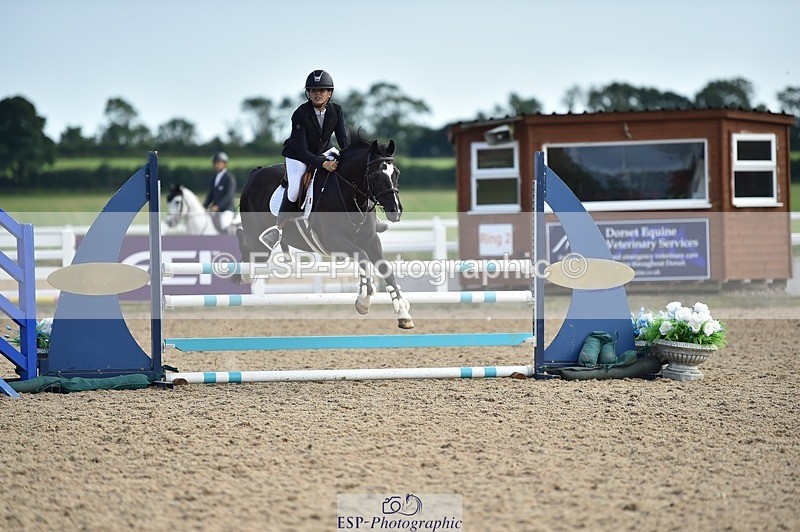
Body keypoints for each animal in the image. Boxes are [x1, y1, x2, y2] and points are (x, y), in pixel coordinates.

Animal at [235, 134, 414, 329]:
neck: (350, 194)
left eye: (396, 173)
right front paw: (364, 301)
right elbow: (363, 256)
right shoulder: (334, 240)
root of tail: (255, 173)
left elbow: (386, 269)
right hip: (257, 241)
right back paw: (243, 274)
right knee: (247, 244)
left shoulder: (371, 240)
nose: (395, 211)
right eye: (375, 175)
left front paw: (403, 313)